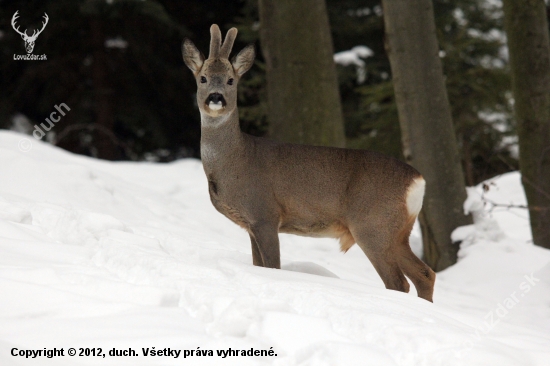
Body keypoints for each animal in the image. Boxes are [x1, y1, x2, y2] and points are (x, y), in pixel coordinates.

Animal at [183, 24, 438, 302]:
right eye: (203, 78)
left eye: (231, 80)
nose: (216, 97)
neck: (234, 162)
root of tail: (418, 180)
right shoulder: (251, 225)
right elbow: (259, 266)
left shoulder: (265, 214)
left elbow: (273, 266)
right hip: (398, 232)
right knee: (425, 274)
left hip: (373, 226)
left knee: (398, 282)